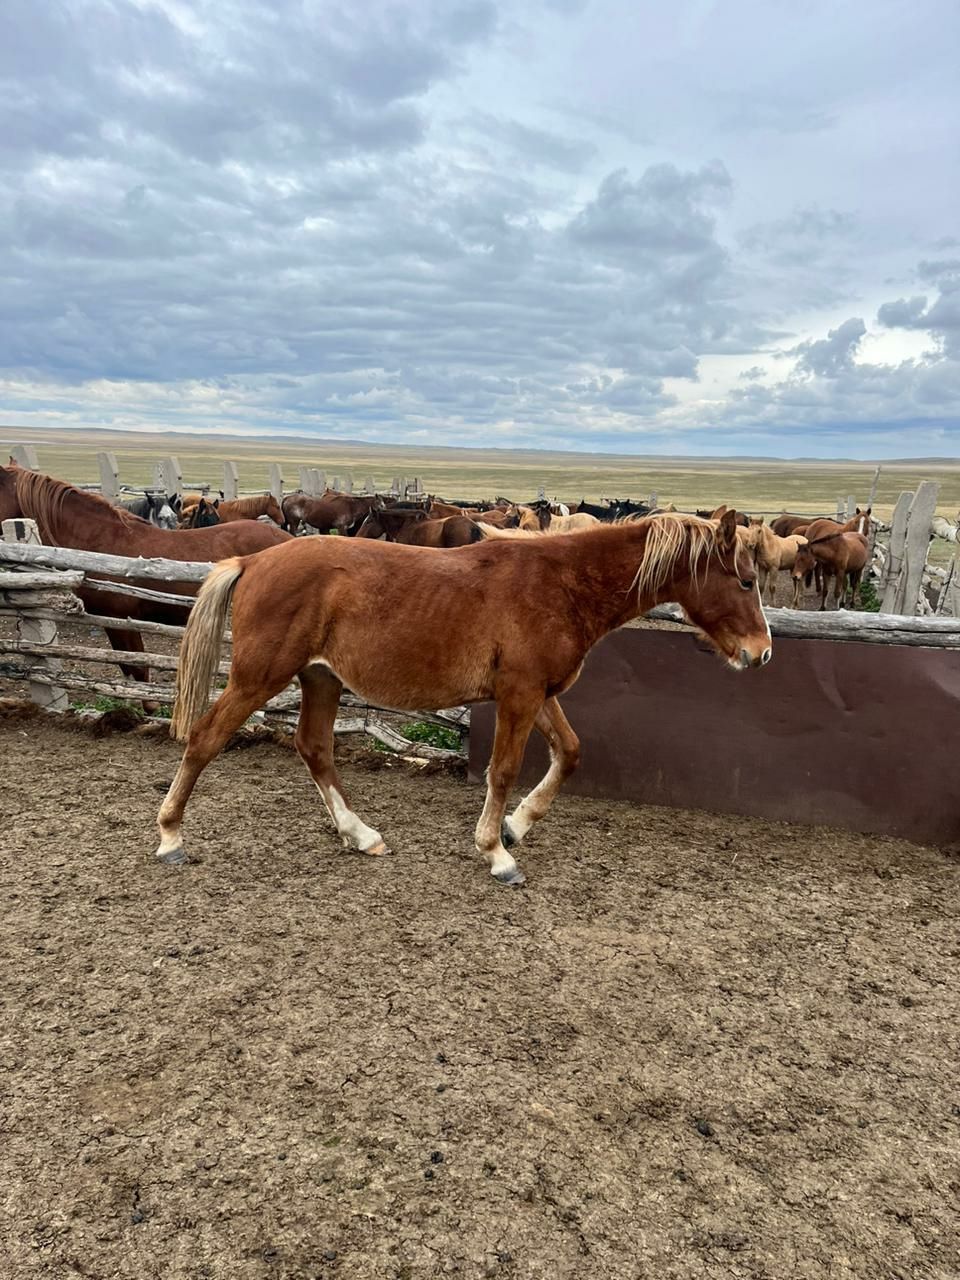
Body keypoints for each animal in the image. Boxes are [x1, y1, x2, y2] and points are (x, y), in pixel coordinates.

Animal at [160, 506, 773, 880]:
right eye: (745, 580)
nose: (762, 652)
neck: (561, 584)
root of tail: (251, 560)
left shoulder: (537, 693)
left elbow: (570, 751)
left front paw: (517, 825)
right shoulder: (519, 695)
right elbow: (502, 770)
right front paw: (496, 852)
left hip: (321, 678)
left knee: (313, 748)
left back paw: (361, 834)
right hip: (257, 678)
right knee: (205, 739)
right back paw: (170, 837)